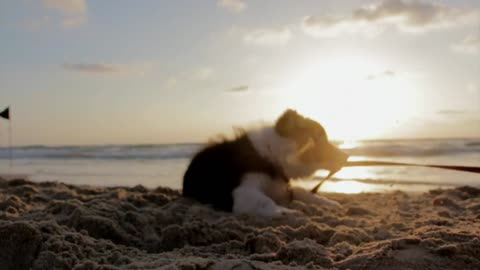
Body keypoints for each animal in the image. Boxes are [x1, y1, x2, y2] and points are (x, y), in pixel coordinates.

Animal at [182, 108, 346, 216]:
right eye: (322, 140)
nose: (346, 156)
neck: (273, 154)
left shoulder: (281, 189)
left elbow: (303, 192)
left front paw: (329, 203)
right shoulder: (241, 192)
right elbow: (265, 200)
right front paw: (285, 211)